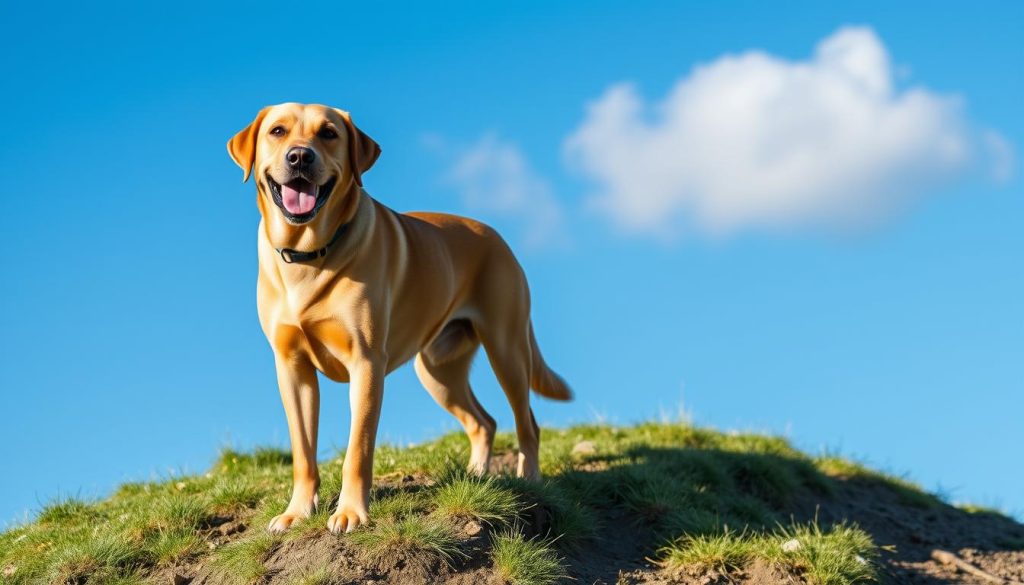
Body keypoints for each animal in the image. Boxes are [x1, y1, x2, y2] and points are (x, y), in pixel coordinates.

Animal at [227, 102, 573, 532]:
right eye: (278, 131)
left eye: (328, 133)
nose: (300, 157)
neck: (309, 255)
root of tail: (496, 235)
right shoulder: (292, 368)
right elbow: (303, 452)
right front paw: (297, 512)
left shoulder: (366, 364)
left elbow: (358, 449)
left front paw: (350, 513)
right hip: (438, 371)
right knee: (485, 422)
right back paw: (477, 475)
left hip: (507, 350)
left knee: (528, 424)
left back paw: (531, 482)